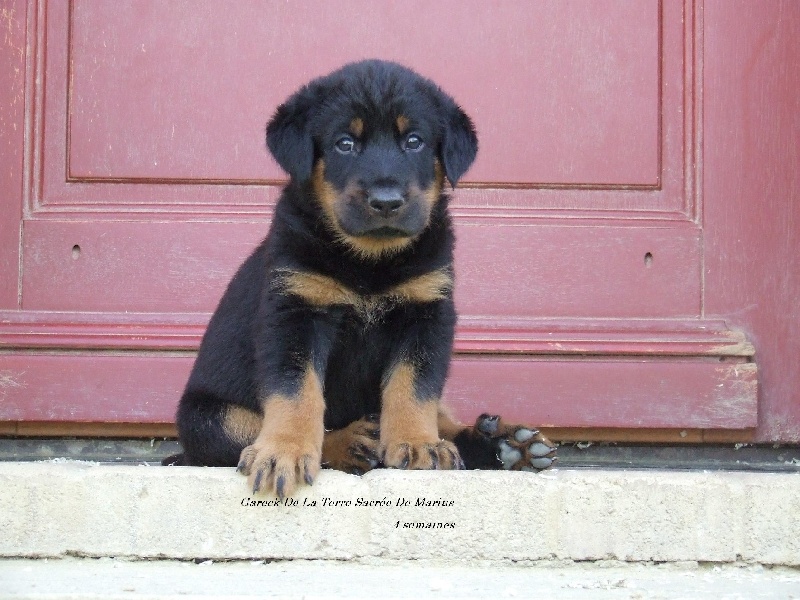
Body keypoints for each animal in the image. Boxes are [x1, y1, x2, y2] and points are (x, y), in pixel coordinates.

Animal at [170, 59, 556, 496]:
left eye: (414, 141)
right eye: (344, 143)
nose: (386, 202)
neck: (370, 261)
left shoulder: (426, 313)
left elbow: (413, 388)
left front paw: (418, 443)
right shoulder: (295, 312)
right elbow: (296, 392)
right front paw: (284, 451)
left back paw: (505, 445)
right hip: (208, 418)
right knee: (248, 431)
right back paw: (354, 442)